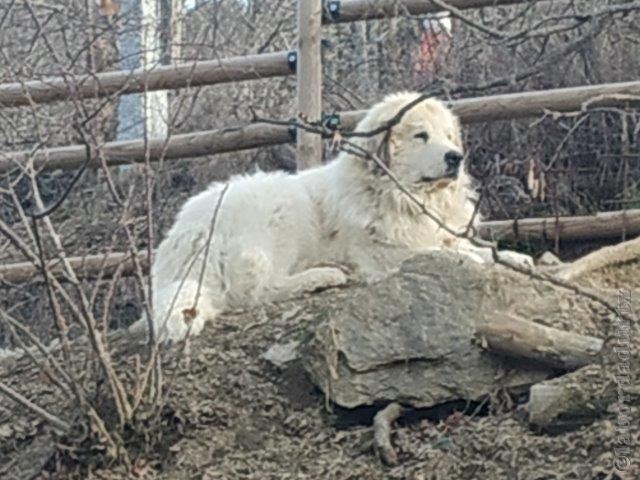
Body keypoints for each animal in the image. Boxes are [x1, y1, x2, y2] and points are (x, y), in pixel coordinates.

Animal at [149, 94, 528, 340]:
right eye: (421, 136)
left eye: (449, 136)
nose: (455, 157)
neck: (404, 196)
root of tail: (186, 232)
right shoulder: (384, 252)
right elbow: (445, 254)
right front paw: (472, 260)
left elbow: (473, 249)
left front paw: (514, 258)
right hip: (282, 208)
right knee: (255, 291)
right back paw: (323, 276)